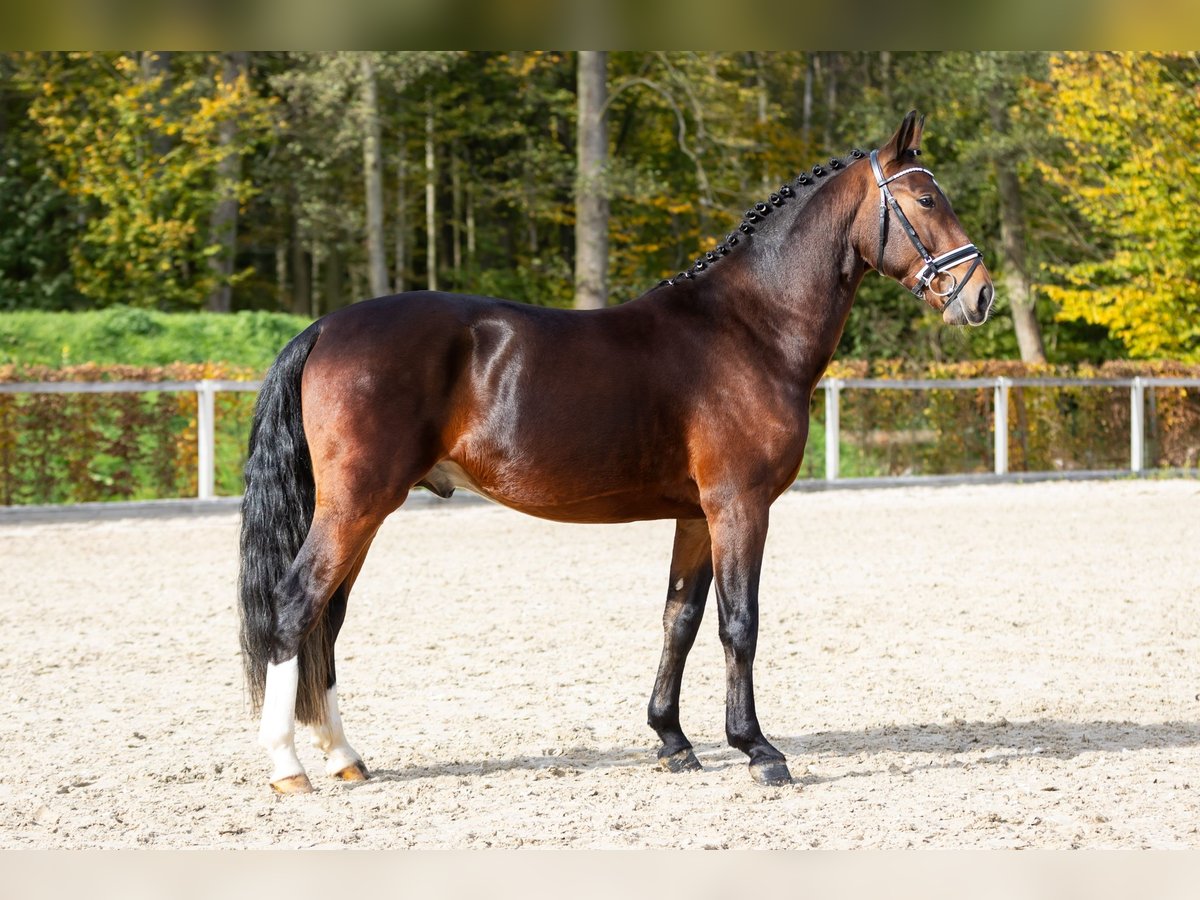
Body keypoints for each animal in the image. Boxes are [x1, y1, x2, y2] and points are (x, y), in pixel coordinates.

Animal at [238, 109, 998, 792]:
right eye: (926, 199)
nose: (981, 295)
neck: (750, 329)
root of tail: (325, 328)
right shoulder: (740, 506)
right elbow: (739, 624)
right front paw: (758, 750)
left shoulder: (696, 515)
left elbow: (680, 620)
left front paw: (673, 740)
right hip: (356, 506)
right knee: (296, 606)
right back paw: (286, 767)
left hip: (361, 512)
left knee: (327, 621)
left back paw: (344, 756)